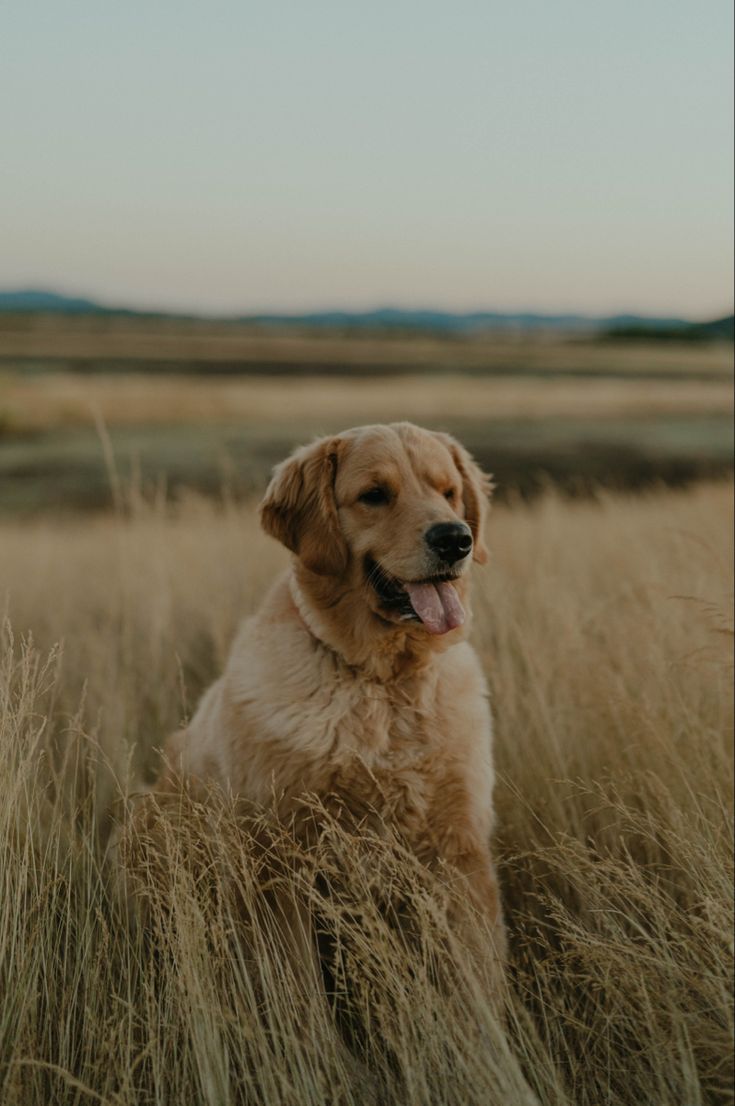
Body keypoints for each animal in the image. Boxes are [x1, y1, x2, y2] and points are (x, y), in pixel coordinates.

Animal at [160, 422, 503, 977]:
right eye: (375, 495)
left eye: (448, 491)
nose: (455, 539)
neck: (383, 682)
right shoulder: (280, 870)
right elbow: (300, 989)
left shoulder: (461, 850)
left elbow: (482, 978)